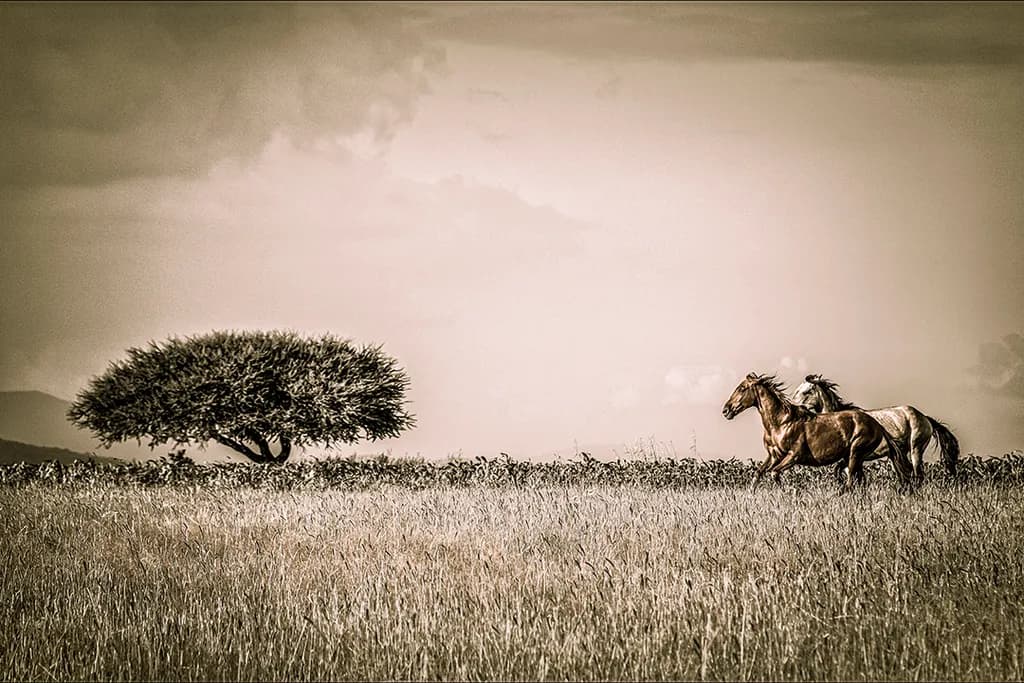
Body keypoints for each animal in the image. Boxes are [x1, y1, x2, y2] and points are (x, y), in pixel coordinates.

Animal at [722, 372, 915, 490]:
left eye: (741, 388)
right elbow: (759, 473)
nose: (726, 410)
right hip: (854, 458)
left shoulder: (794, 455)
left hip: (855, 453)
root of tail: (876, 424)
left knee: (851, 480)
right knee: (859, 481)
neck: (780, 423)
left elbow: (774, 473)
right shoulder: (774, 455)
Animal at [792, 374, 959, 482]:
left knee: (918, 475)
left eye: (806, 392)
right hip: (898, 454)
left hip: (916, 450)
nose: (793, 407)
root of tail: (925, 418)